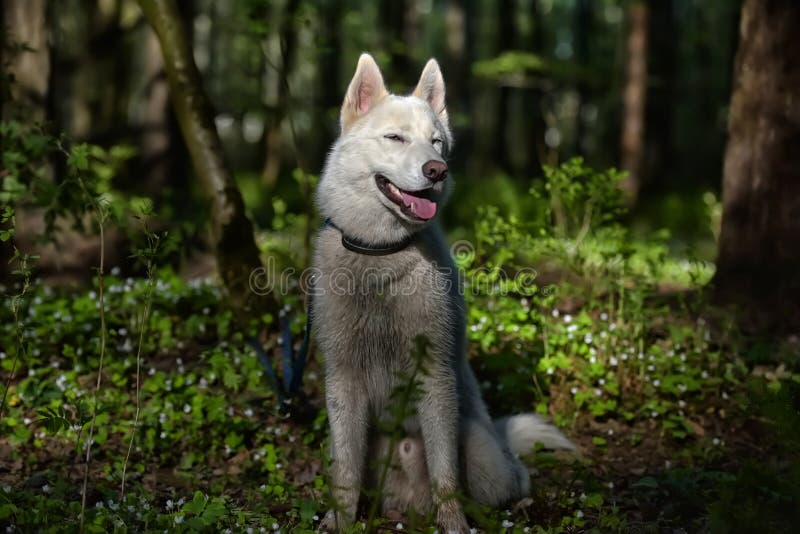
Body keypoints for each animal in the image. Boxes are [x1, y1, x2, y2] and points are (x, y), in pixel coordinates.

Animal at [312, 52, 576, 532]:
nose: (437, 170)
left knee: (514, 478)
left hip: (486, 462)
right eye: (394, 137)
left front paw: (453, 525)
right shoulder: (342, 381)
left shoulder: (435, 377)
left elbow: (445, 475)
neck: (381, 255)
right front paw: (337, 522)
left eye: (436, 143)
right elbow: (345, 472)